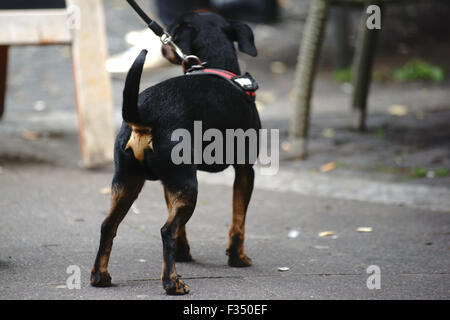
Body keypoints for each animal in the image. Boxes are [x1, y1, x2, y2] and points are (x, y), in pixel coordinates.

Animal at [90, 12, 260, 294]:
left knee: (108, 225)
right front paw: (238, 257)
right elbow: (239, 220)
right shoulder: (246, 170)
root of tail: (143, 116)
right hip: (186, 186)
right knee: (166, 230)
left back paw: (99, 275)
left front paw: (182, 253)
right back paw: (172, 282)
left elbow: (182, 227)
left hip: (127, 181)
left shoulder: (169, 184)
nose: (162, 46)